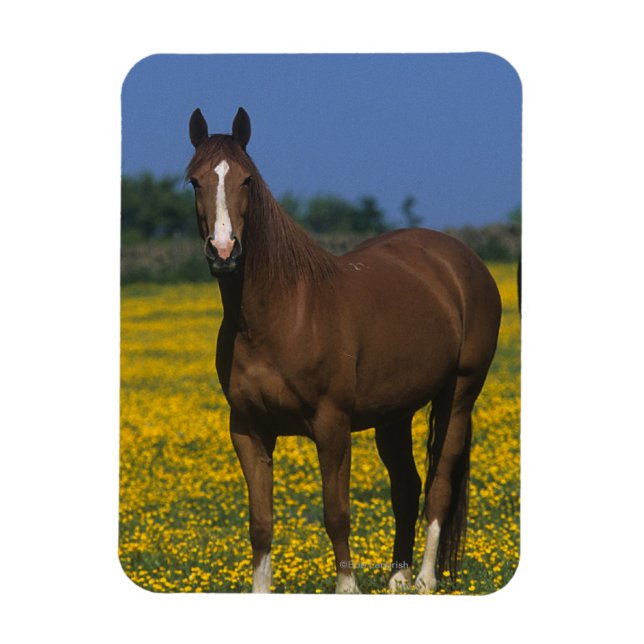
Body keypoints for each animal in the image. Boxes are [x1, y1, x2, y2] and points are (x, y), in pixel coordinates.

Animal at [186, 107, 501, 593]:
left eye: (247, 180)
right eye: (194, 181)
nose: (224, 251)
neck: (276, 316)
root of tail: (461, 261)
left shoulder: (331, 425)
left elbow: (336, 514)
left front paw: (347, 588)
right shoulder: (249, 431)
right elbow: (261, 523)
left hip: (459, 394)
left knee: (439, 484)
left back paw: (425, 578)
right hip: (395, 413)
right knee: (407, 486)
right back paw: (398, 577)